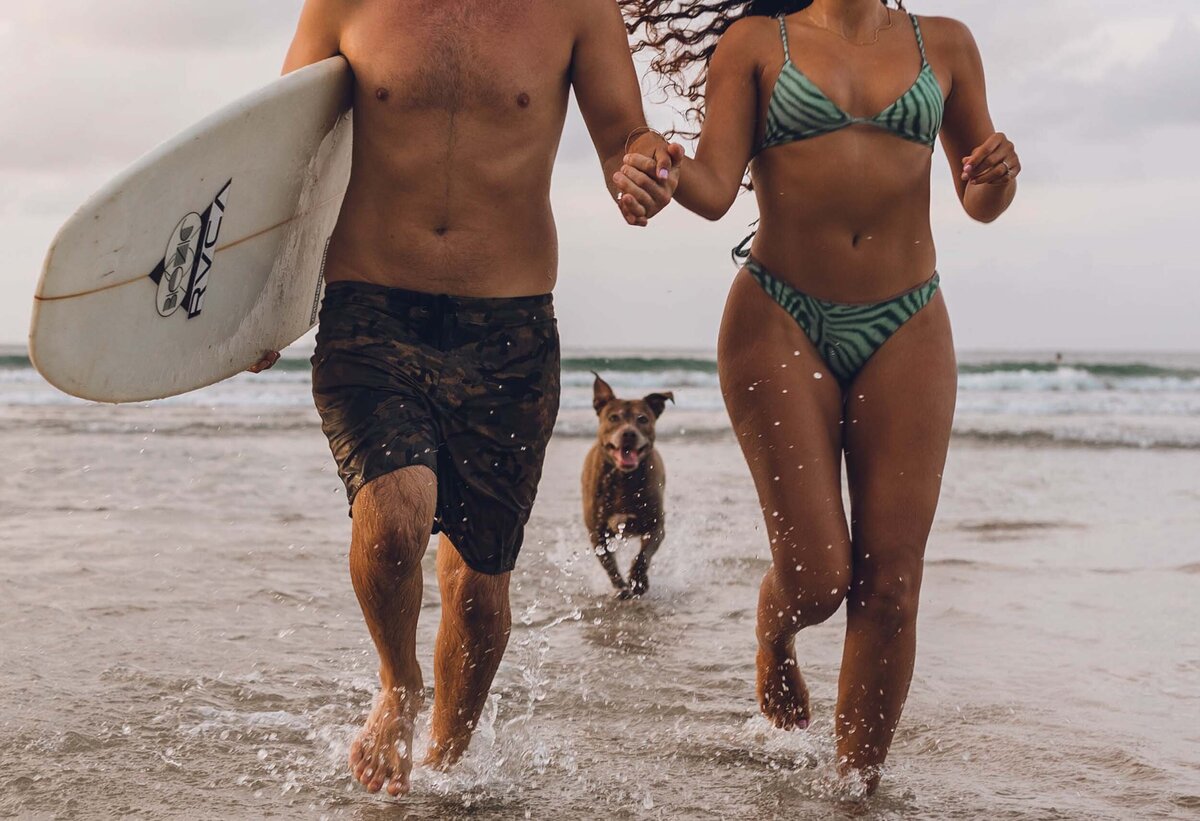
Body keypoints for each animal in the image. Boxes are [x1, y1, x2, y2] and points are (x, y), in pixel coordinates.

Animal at [580, 374, 676, 600]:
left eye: (642, 419)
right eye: (613, 418)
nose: (629, 433)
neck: (623, 479)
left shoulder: (655, 526)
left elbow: (643, 555)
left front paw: (638, 581)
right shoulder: (597, 533)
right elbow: (608, 563)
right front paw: (621, 587)